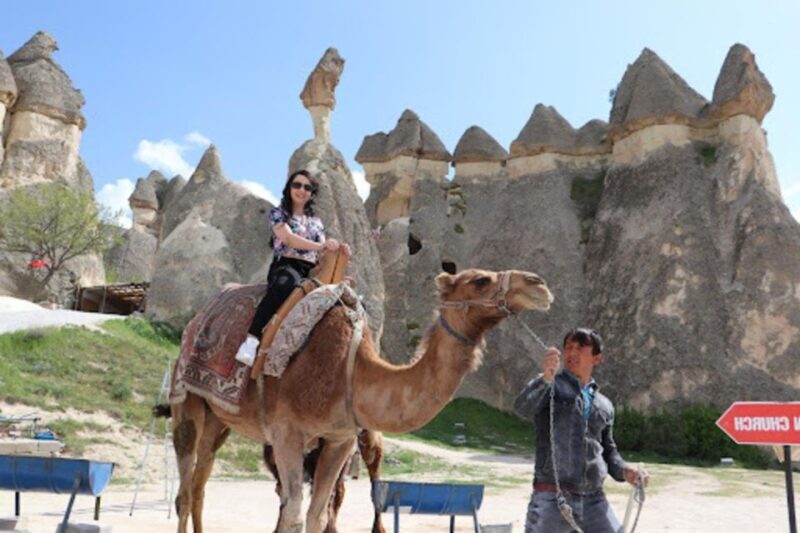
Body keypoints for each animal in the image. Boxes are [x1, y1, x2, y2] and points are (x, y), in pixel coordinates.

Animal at [170, 267, 553, 533]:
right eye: (480, 280)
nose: (539, 284)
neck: (349, 371)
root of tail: (200, 316)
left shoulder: (340, 438)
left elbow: (318, 514)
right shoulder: (287, 433)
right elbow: (293, 513)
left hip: (220, 419)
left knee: (200, 485)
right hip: (186, 400)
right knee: (185, 489)